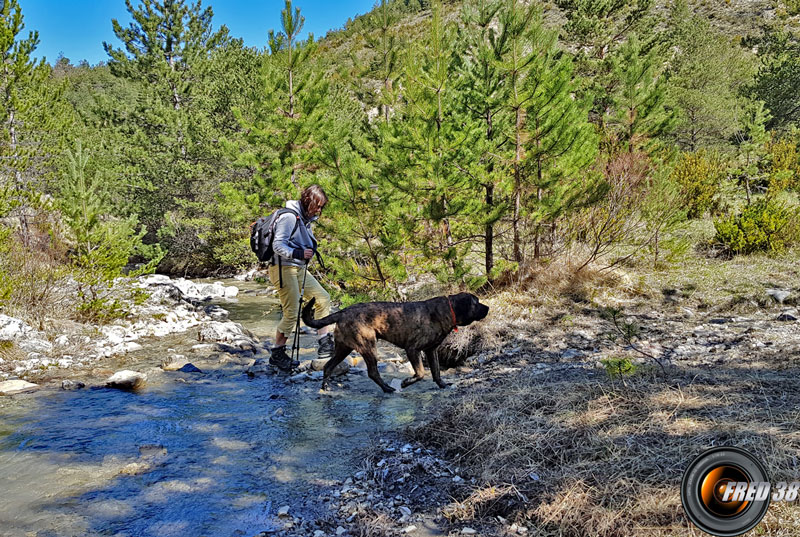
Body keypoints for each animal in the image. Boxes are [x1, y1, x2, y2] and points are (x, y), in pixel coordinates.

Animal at [300, 292, 488, 392]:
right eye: (476, 302)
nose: (488, 308)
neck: (448, 310)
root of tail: (343, 311)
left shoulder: (431, 350)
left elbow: (436, 371)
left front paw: (442, 384)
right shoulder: (412, 349)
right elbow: (421, 373)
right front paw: (406, 382)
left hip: (343, 348)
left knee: (328, 366)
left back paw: (325, 387)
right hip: (368, 346)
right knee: (372, 372)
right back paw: (386, 388)